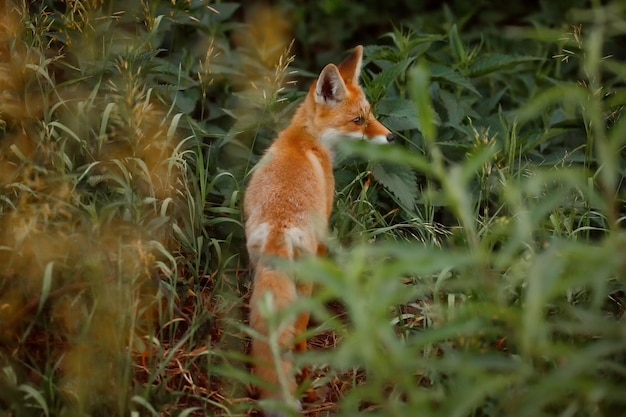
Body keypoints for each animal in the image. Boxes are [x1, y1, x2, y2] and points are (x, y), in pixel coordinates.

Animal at [243, 45, 392, 416]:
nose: (391, 136)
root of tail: (279, 228)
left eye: (369, 114)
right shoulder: (325, 230)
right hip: (304, 283)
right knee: (297, 339)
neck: (305, 138)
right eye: (358, 121)